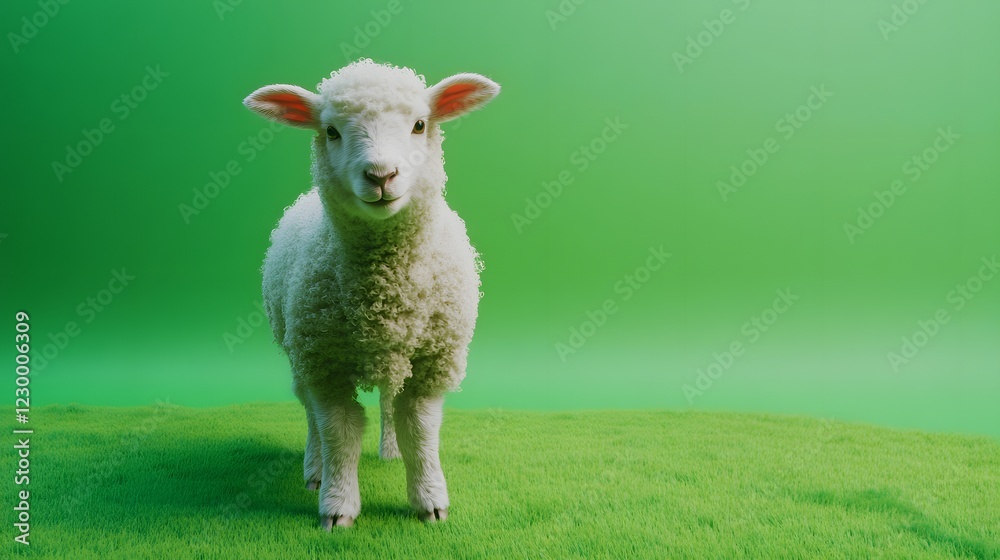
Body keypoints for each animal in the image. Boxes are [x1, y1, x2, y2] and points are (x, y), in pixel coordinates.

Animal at [243, 59, 499, 529]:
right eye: (330, 131)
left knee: (390, 402)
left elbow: (419, 425)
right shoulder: (323, 360)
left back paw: (391, 453)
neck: (386, 291)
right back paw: (315, 470)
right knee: (309, 411)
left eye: (419, 124)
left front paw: (430, 501)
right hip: (298, 347)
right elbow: (339, 429)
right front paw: (337, 506)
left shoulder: (433, 358)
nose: (381, 176)